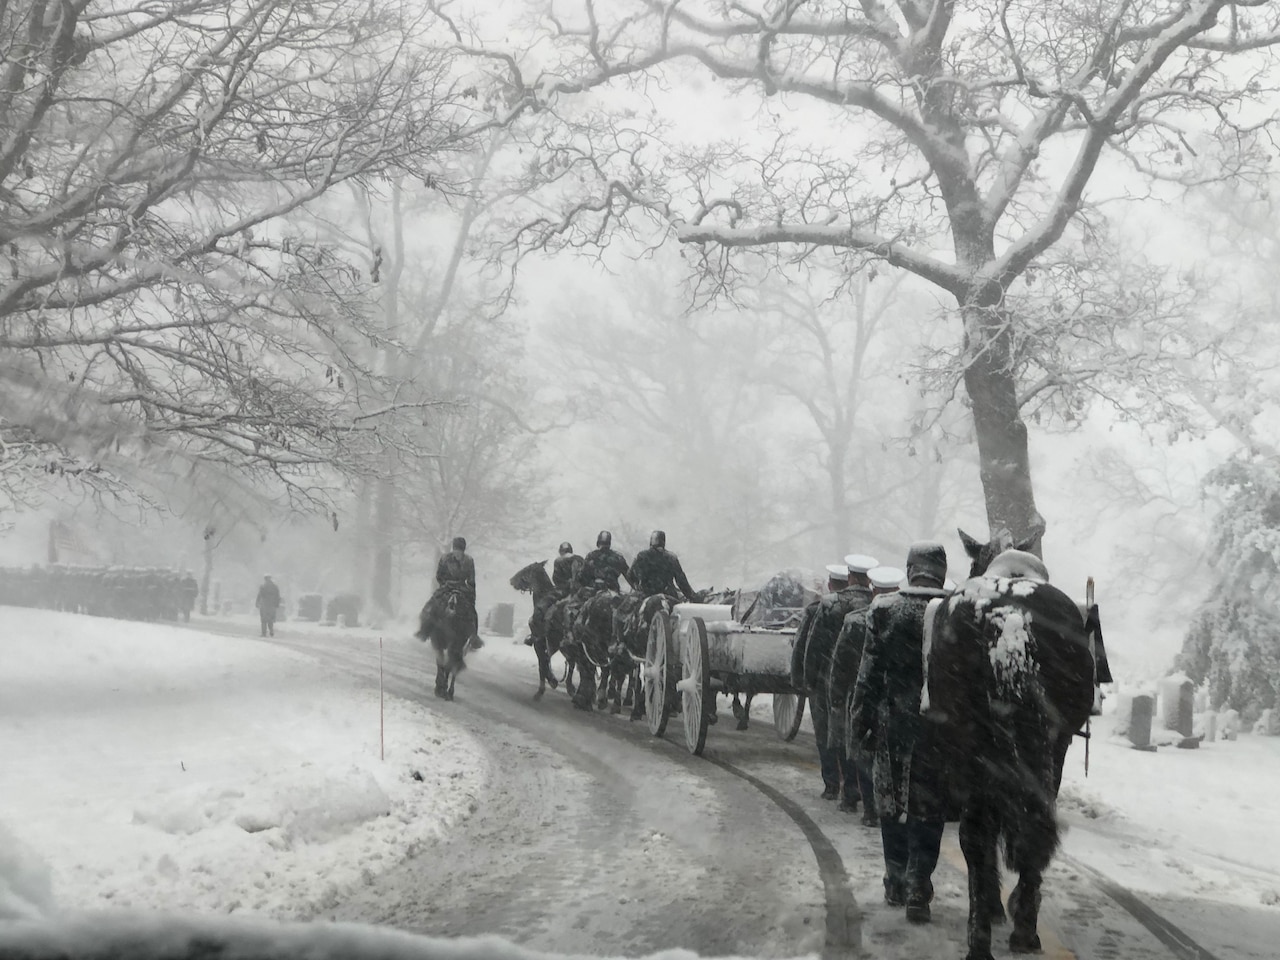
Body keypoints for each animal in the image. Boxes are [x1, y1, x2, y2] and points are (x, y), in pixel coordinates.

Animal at [926, 529, 1105, 960]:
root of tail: (1008, 618)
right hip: (1037, 748)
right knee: (1027, 826)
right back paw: (1019, 927)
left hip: (974, 744)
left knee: (978, 834)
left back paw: (985, 935)